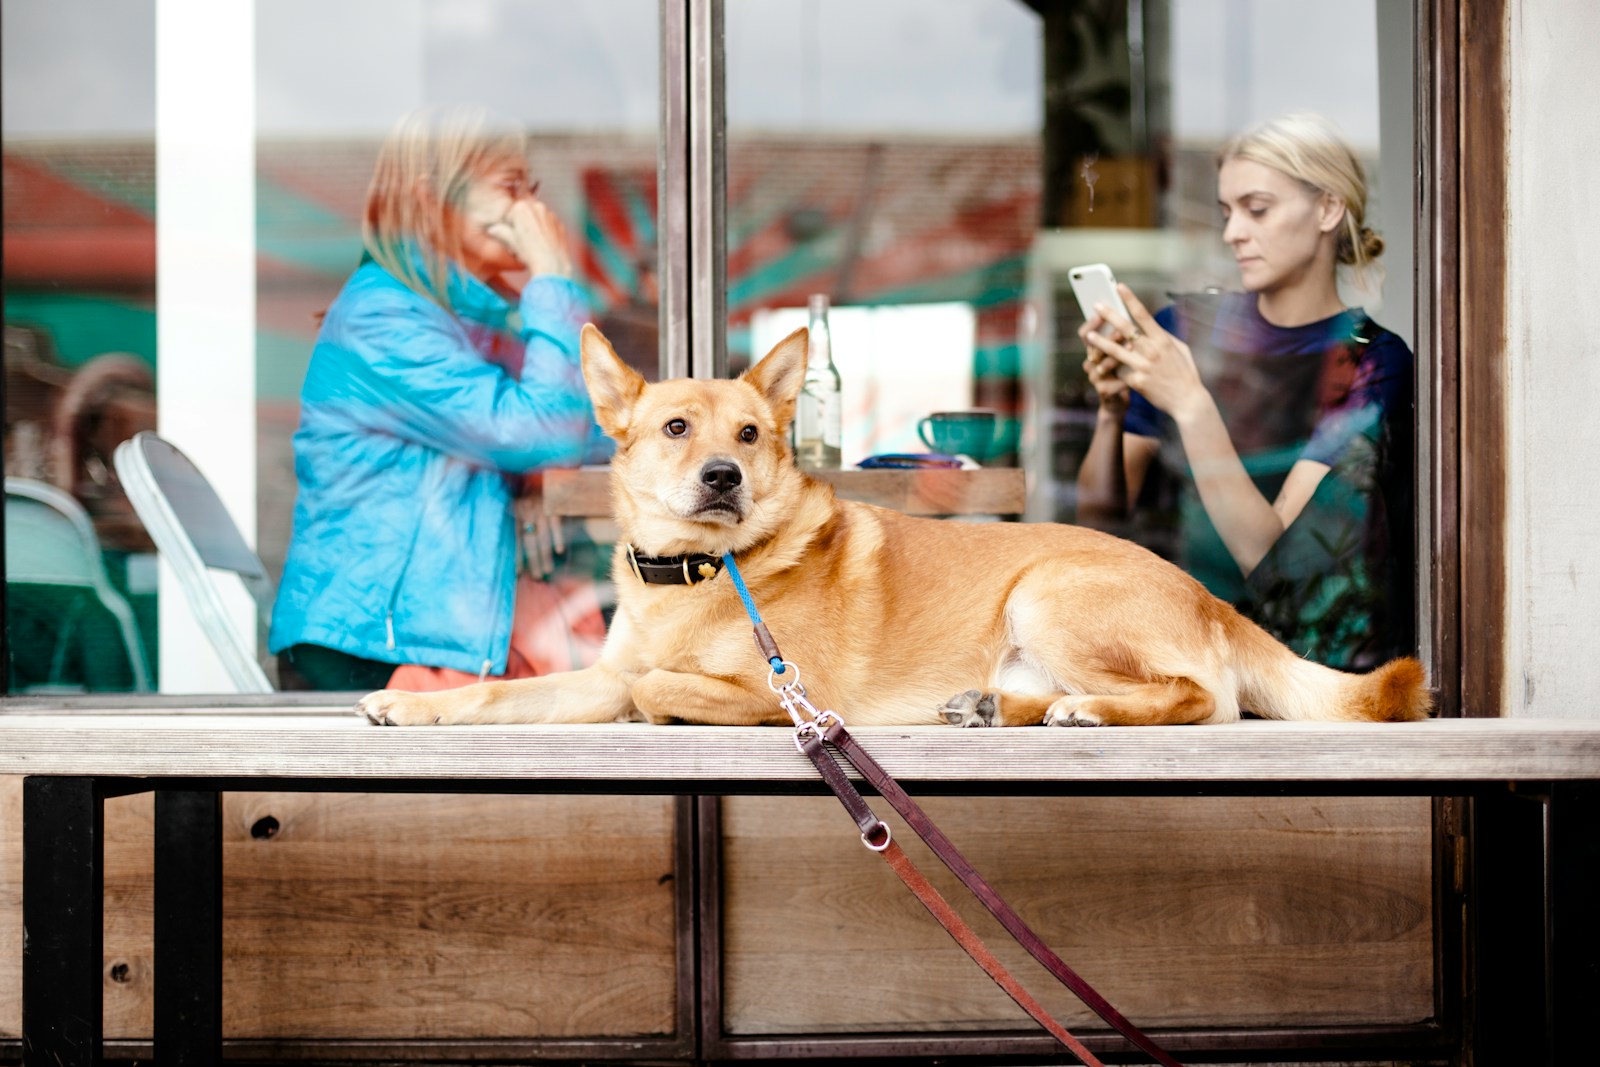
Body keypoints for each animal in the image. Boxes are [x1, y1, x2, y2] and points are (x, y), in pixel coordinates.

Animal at [356, 326, 1433, 726]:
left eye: (750, 433)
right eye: (675, 427)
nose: (722, 474)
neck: (701, 575)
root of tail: (1210, 597)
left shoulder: (781, 692)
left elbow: (658, 684)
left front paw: (658, 702)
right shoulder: (594, 671)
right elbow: (508, 694)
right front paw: (416, 707)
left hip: (1049, 592)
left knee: (1204, 698)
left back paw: (1085, 712)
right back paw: (996, 709)